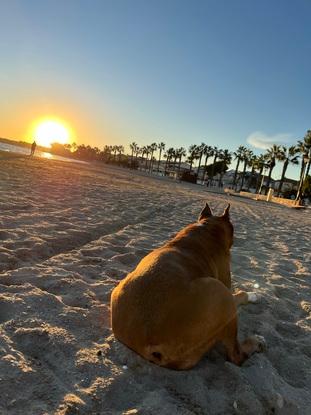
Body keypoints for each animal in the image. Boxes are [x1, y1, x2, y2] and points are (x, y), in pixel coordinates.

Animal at [111, 203, 264, 368]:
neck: (207, 227)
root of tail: (147, 343)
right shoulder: (226, 286)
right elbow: (240, 294)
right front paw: (253, 295)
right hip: (220, 293)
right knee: (236, 356)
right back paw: (257, 342)